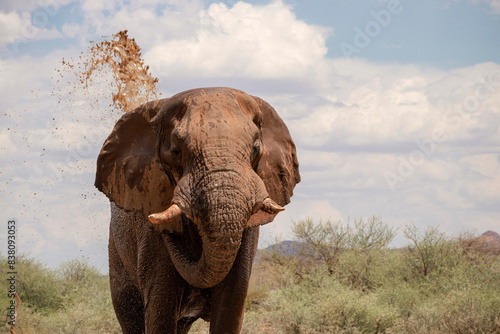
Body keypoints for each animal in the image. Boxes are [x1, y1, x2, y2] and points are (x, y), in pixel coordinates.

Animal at [95, 87, 300, 332]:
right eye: (176, 151)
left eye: (256, 149)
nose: (168, 228)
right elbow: (160, 309)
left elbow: (230, 306)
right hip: (117, 249)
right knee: (130, 316)